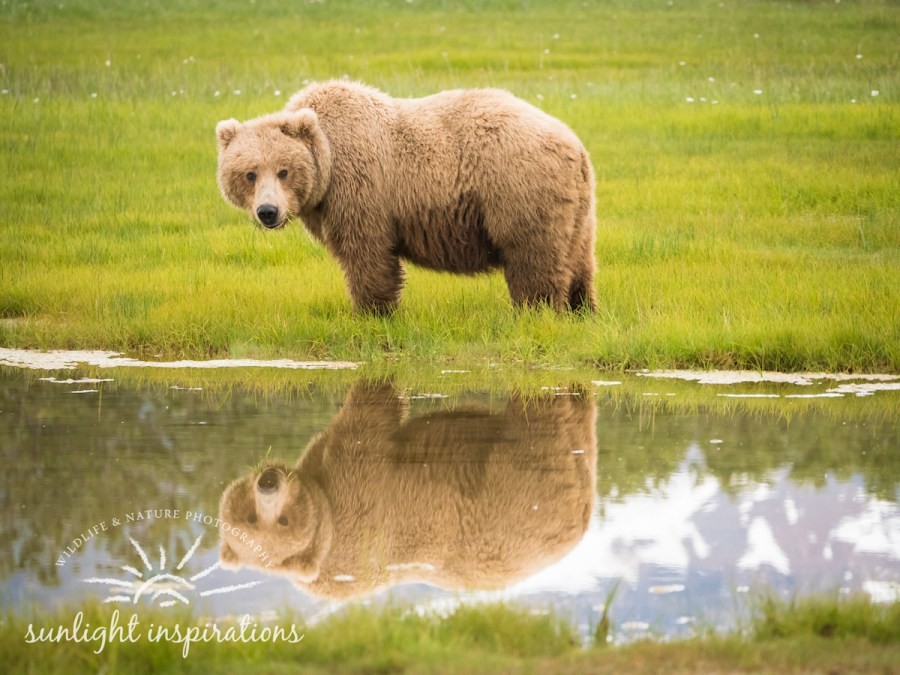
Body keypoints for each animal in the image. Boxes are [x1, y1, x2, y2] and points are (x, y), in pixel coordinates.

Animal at [216, 80, 597, 314]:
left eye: (283, 170)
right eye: (249, 173)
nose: (268, 211)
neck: (327, 160)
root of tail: (573, 143)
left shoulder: (360, 189)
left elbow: (367, 254)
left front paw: (372, 312)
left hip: (518, 189)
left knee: (532, 258)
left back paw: (536, 311)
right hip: (579, 206)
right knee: (579, 259)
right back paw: (582, 309)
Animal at [218, 382, 597, 599]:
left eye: (282, 521)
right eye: (250, 519)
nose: (268, 481)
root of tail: (578, 526)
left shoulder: (357, 494)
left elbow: (368, 423)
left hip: (517, 486)